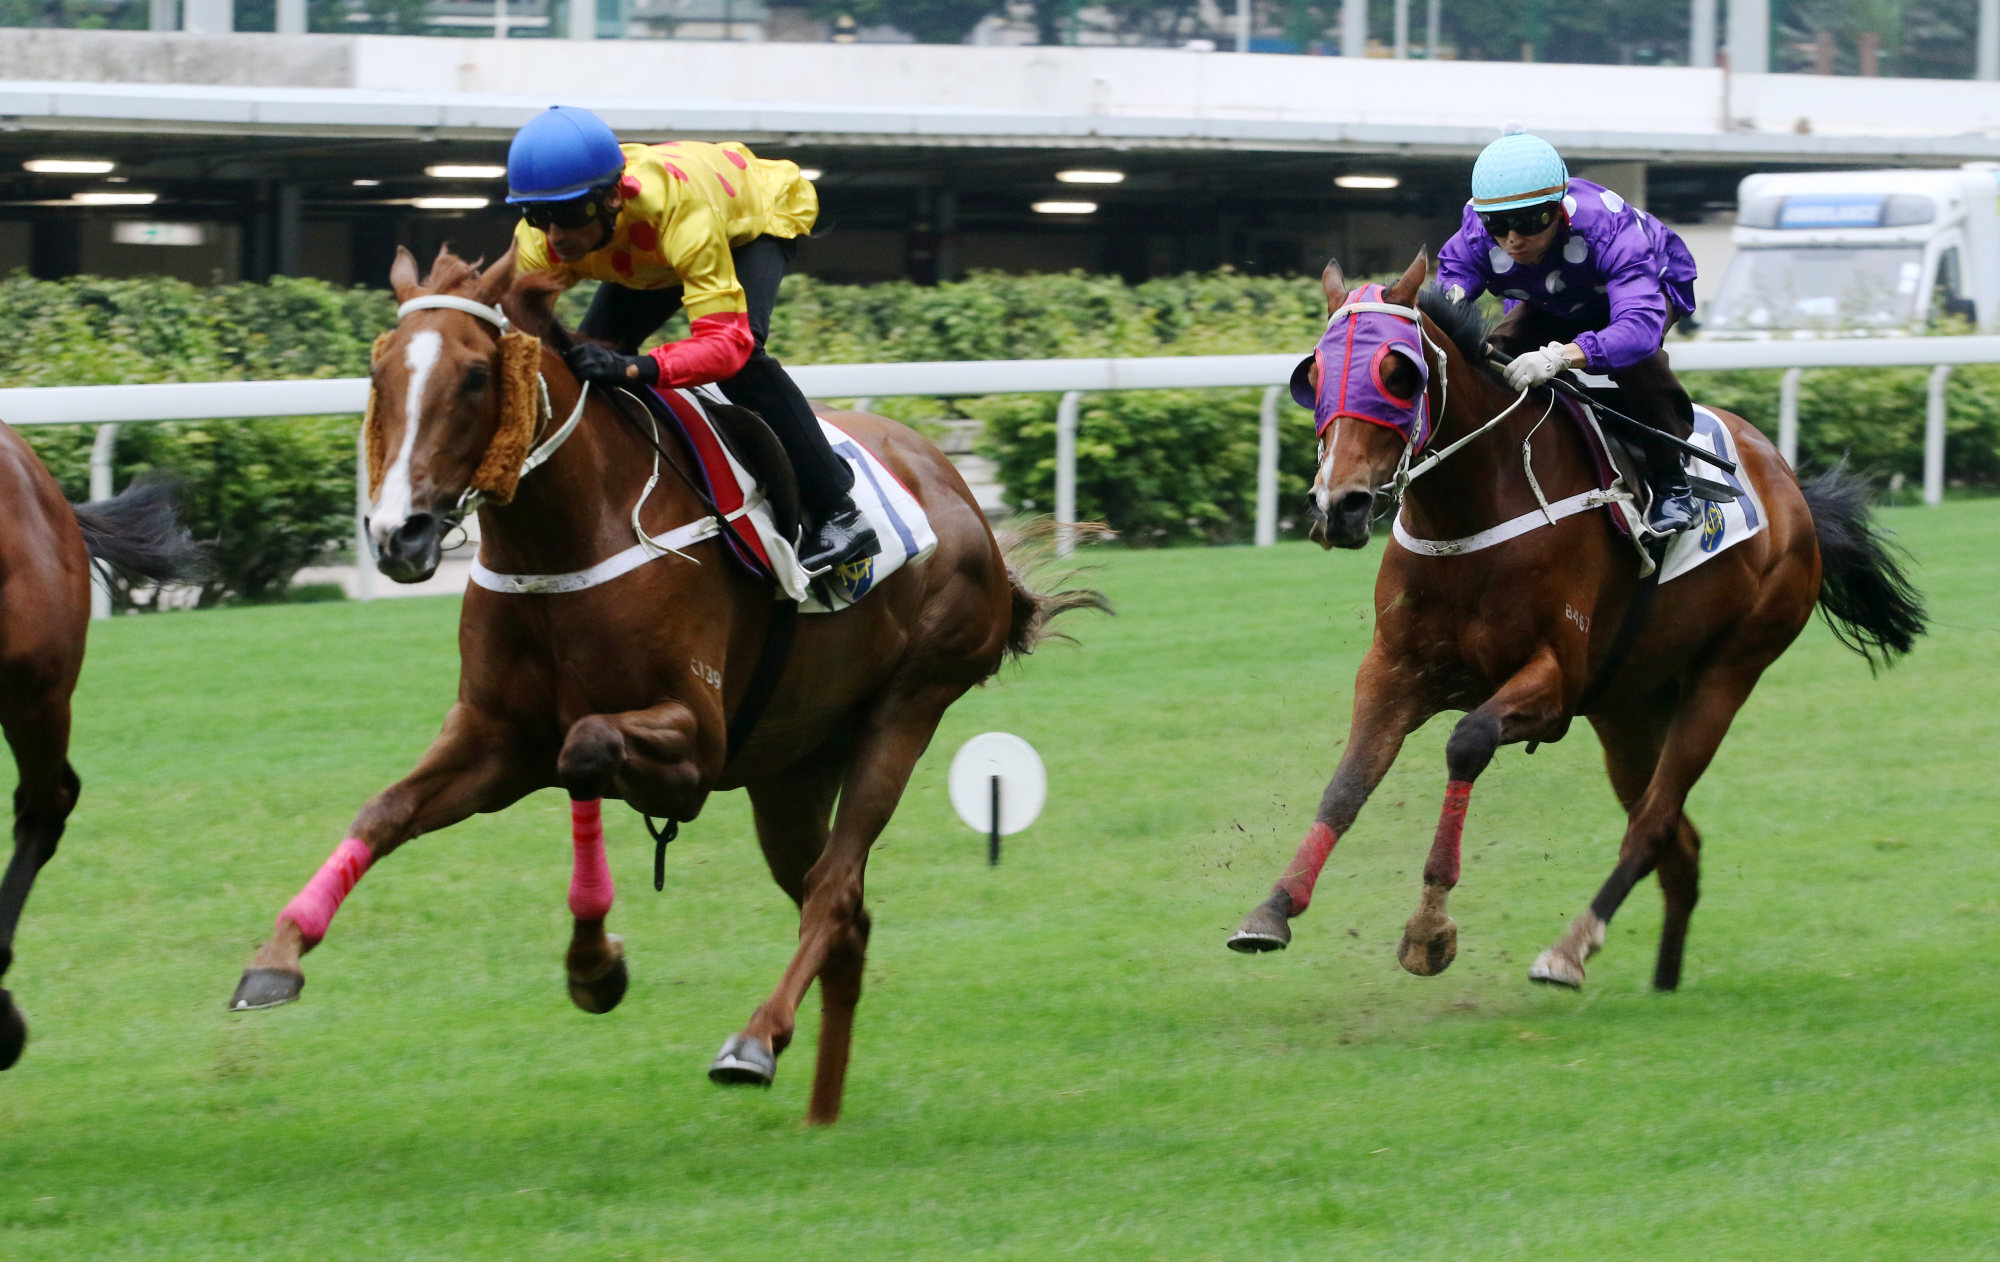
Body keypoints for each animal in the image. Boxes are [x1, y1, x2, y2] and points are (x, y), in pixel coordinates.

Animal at [229, 244, 1104, 1128]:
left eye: (476, 376)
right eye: (378, 373)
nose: (397, 535)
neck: (568, 533)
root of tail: (960, 494)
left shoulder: (695, 746)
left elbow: (585, 747)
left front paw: (595, 967)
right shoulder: (496, 737)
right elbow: (387, 810)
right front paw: (277, 956)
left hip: (909, 703)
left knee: (832, 889)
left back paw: (753, 1040)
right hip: (792, 768)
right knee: (845, 914)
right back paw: (820, 1108)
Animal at [1216, 252, 1920, 992]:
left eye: (1398, 374)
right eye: (1313, 375)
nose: (1340, 506)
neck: (1472, 509)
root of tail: (1788, 481)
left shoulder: (1553, 682)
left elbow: (1466, 742)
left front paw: (1429, 929)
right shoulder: (1396, 669)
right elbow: (1347, 785)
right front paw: (1272, 910)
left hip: (1730, 669)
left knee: (1656, 822)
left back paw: (1570, 949)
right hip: (1629, 705)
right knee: (1681, 843)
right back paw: (1663, 981)